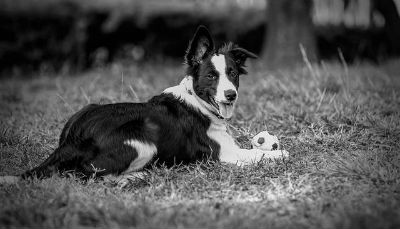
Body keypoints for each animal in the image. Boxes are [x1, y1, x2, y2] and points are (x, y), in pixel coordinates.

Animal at [0, 26, 290, 185]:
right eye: (211, 76)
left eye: (233, 74)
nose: (231, 95)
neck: (197, 101)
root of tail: (71, 140)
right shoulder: (224, 155)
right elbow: (259, 154)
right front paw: (279, 153)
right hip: (144, 142)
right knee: (87, 173)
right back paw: (133, 177)